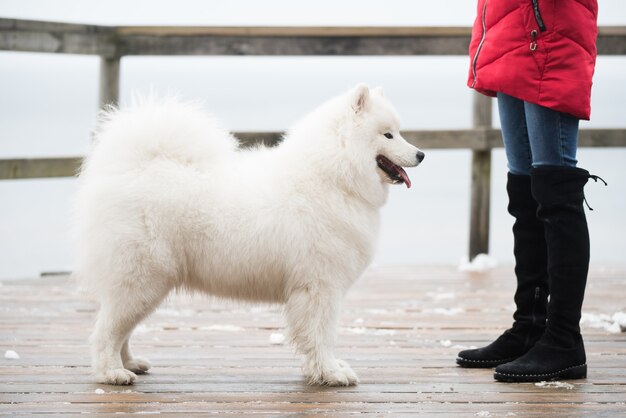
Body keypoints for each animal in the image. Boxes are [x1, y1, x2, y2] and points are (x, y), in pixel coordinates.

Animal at [73, 83, 424, 386]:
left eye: (398, 132)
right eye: (388, 134)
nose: (421, 154)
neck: (332, 176)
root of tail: (132, 169)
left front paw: (326, 369)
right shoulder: (320, 287)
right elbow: (322, 335)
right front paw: (330, 373)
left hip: (144, 286)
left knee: (121, 330)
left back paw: (130, 363)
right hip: (143, 281)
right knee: (106, 332)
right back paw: (112, 373)